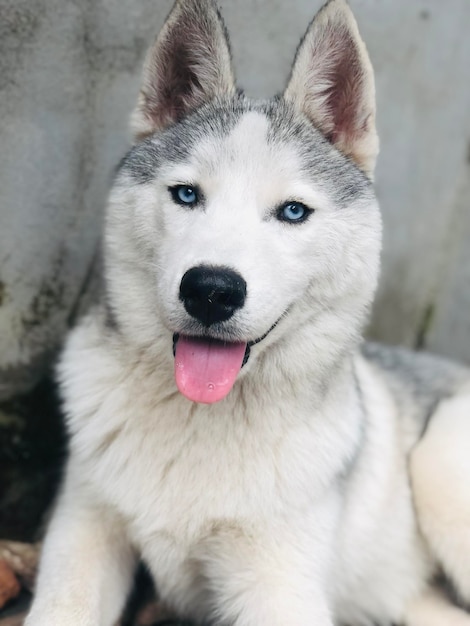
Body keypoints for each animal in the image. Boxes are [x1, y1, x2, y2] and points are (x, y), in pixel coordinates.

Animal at [25, 0, 470, 620]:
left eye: (293, 211)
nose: (211, 290)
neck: (200, 418)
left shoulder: (278, 586)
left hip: (439, 468)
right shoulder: (85, 527)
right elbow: (61, 607)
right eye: (187, 194)